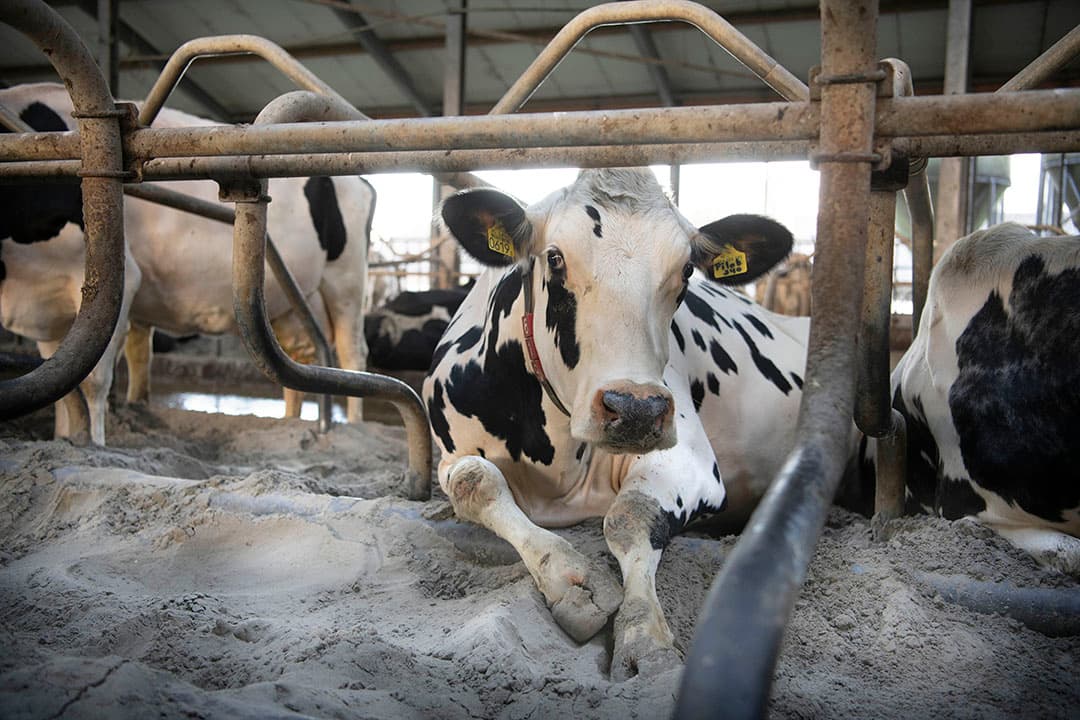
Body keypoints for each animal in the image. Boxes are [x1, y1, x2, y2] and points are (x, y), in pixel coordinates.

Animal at [0, 82, 374, 444]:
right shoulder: (46, 303)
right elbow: (61, 384)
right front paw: (65, 439)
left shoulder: (117, 276)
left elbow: (93, 380)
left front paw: (94, 443)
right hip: (289, 298)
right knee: (297, 354)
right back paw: (290, 425)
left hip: (346, 279)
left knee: (352, 351)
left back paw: (355, 426)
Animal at [423, 168, 810, 679]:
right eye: (555, 258)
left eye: (687, 270)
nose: (635, 408)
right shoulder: (452, 453)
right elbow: (476, 481)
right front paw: (571, 580)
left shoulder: (690, 462)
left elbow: (629, 516)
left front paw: (644, 634)